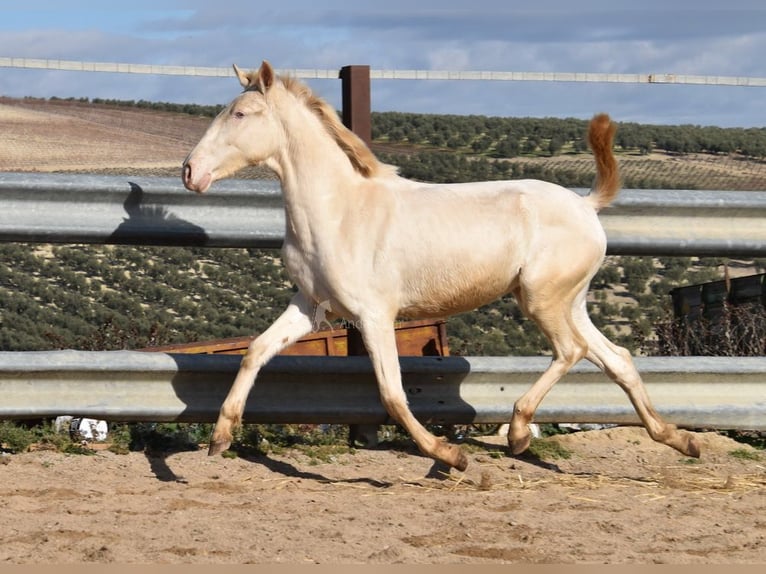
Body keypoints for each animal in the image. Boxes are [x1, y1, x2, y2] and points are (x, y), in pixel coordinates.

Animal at [184, 60, 704, 472]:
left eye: (240, 113)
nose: (190, 172)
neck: (338, 211)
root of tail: (585, 205)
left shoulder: (374, 315)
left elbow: (392, 394)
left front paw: (450, 455)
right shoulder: (312, 307)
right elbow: (255, 351)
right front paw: (220, 438)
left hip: (542, 300)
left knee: (571, 352)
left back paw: (518, 432)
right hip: (568, 302)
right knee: (617, 358)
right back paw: (679, 440)